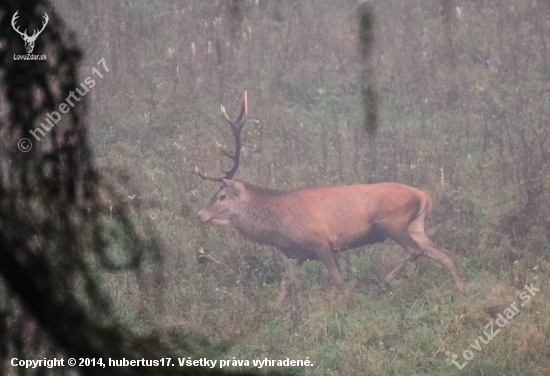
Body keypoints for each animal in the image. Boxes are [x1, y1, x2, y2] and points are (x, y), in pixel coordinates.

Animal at [196, 92, 464, 302]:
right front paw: (277, 310)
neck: (278, 226)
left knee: (415, 250)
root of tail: (423, 195)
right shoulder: (301, 253)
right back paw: (462, 289)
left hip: (393, 222)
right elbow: (285, 284)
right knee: (444, 254)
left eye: (221, 196)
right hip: (416, 225)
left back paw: (384, 282)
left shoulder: (321, 242)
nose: (200, 213)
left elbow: (338, 281)